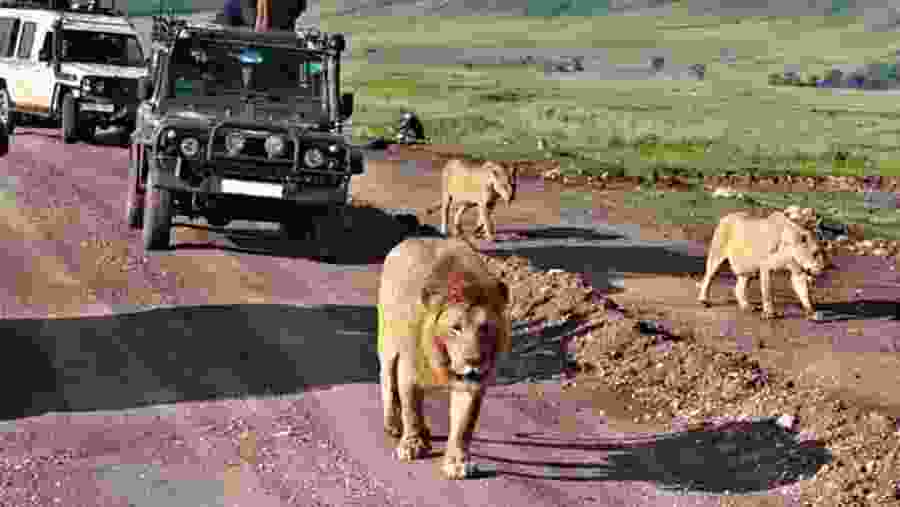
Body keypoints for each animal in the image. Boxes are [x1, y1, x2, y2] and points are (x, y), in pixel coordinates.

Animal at [377, 236, 511, 479]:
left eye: (485, 328)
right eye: (455, 328)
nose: (474, 361)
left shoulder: (472, 384)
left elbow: (463, 425)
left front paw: (457, 462)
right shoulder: (409, 369)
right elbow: (411, 409)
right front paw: (411, 444)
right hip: (388, 344)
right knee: (387, 381)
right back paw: (393, 425)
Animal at [697, 211, 828, 319]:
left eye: (823, 252)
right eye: (815, 253)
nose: (822, 269)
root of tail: (726, 216)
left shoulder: (798, 271)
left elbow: (804, 293)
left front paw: (811, 312)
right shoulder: (766, 266)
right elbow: (767, 291)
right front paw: (769, 313)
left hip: (749, 268)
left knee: (739, 287)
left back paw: (746, 306)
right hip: (717, 255)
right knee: (708, 277)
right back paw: (703, 300)